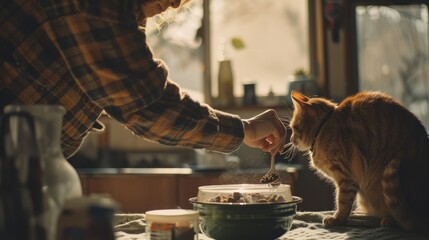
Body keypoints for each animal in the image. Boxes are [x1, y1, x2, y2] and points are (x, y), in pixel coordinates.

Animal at [288, 90, 428, 231]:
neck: (324, 126)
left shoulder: (346, 179)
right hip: (365, 198)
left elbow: (342, 202)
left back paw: (387, 221)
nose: (291, 140)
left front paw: (336, 219)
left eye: (294, 128)